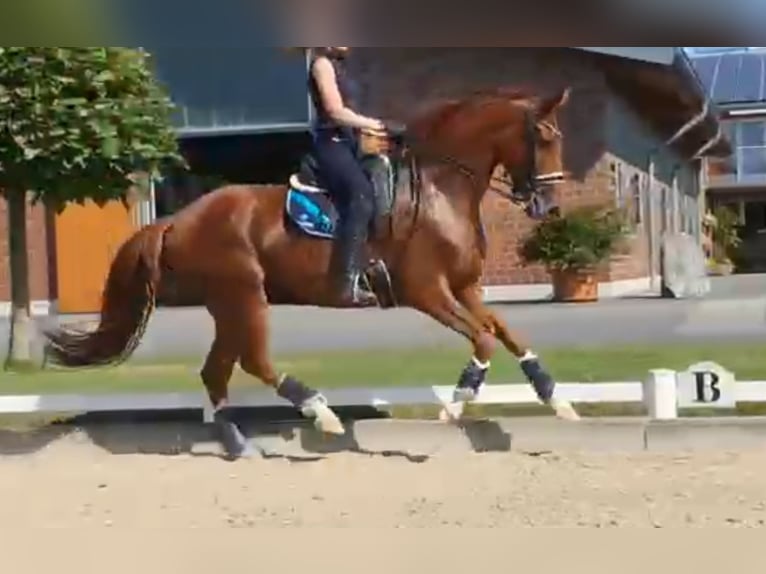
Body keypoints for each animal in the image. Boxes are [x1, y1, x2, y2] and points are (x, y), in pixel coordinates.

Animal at [43, 86, 584, 460]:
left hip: (228, 304)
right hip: (244, 295)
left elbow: (508, 334)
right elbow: (485, 340)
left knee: (216, 371)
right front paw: (453, 405)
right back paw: (320, 414)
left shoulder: (465, 287)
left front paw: (557, 400)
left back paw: (241, 444)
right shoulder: (427, 291)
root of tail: (177, 219)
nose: (551, 207)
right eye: (544, 137)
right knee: (254, 361)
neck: (439, 188)